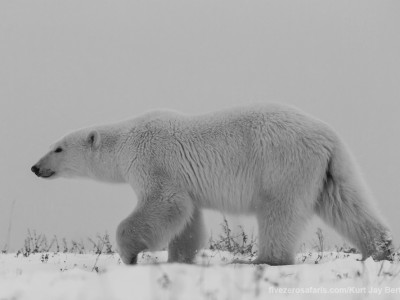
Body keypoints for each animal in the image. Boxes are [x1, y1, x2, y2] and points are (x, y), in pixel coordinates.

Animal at [32, 103, 394, 264]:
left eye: (58, 148)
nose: (35, 167)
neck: (126, 140)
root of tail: (328, 137)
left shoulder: (154, 161)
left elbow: (164, 203)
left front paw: (129, 254)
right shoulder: (184, 180)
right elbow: (187, 218)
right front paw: (180, 259)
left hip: (281, 164)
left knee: (279, 212)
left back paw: (261, 260)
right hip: (331, 169)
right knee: (347, 204)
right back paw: (380, 250)